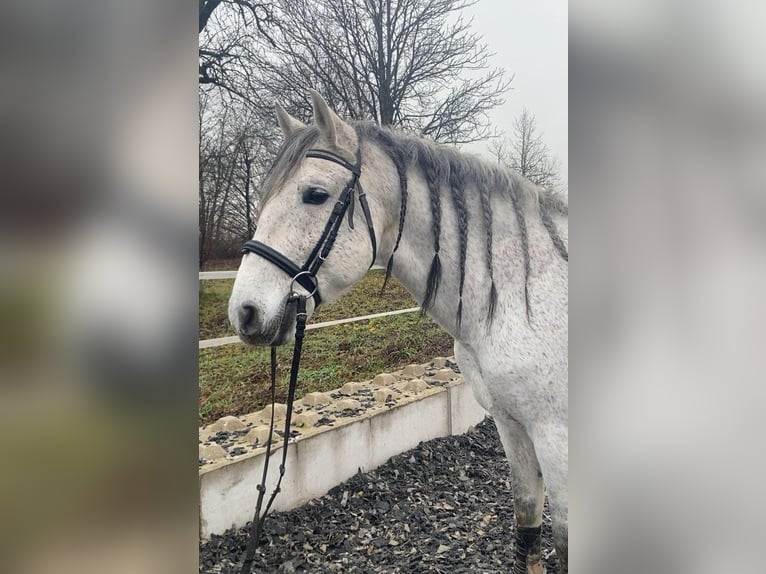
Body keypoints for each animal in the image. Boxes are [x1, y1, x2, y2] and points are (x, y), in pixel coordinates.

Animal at [228, 90, 568, 574]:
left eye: (315, 195)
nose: (245, 312)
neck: (520, 293)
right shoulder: (512, 425)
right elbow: (527, 525)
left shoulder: (556, 438)